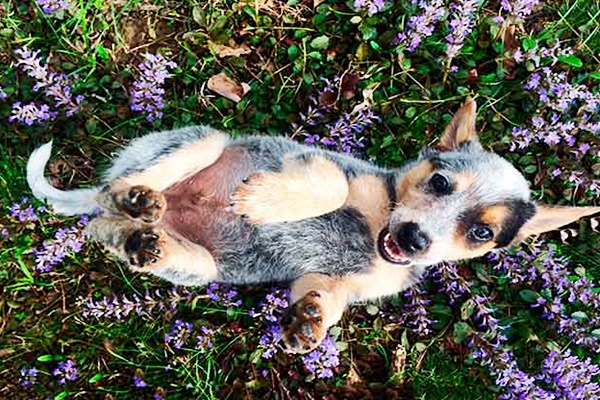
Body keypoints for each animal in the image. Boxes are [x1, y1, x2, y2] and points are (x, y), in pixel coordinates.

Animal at [28, 98, 600, 352]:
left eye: (483, 232)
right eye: (440, 182)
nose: (413, 239)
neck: (374, 232)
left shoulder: (335, 280)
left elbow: (325, 299)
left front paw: (312, 321)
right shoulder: (320, 163)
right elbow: (333, 185)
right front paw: (263, 200)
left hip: (204, 267)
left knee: (104, 228)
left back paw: (145, 237)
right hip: (199, 141)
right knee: (115, 195)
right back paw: (136, 197)